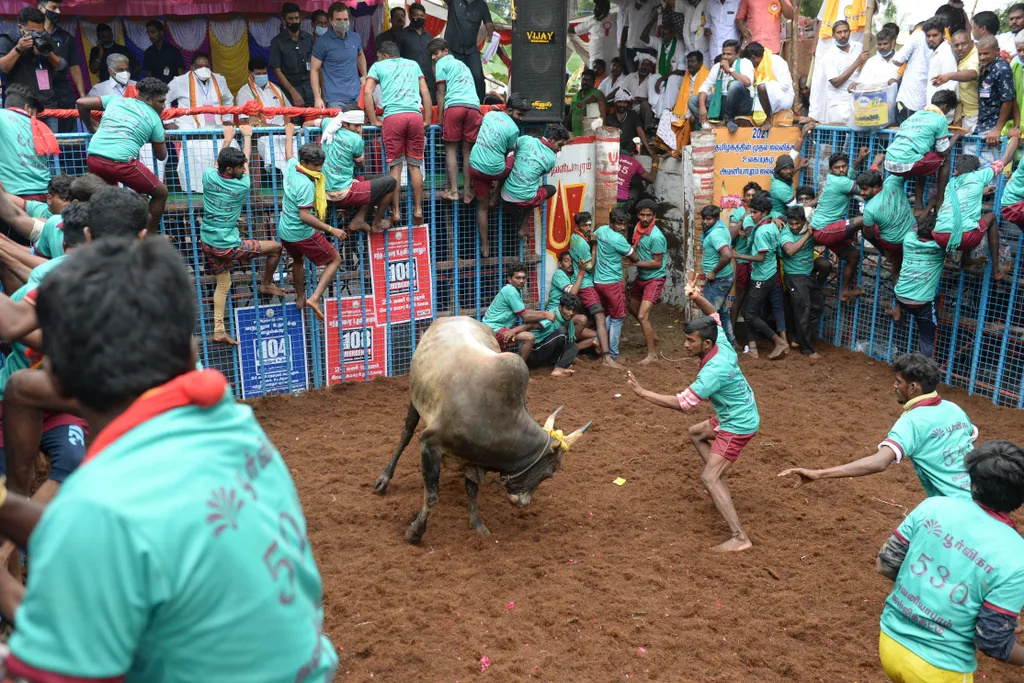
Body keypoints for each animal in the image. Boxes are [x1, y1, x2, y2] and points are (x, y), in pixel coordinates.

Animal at [374, 315, 593, 544]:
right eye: (552, 470)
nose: (524, 502)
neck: (499, 423)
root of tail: (450, 317)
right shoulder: (429, 444)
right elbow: (432, 495)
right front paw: (415, 532)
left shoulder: (473, 460)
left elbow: (472, 490)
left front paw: (476, 524)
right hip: (415, 400)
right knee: (405, 435)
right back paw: (384, 479)